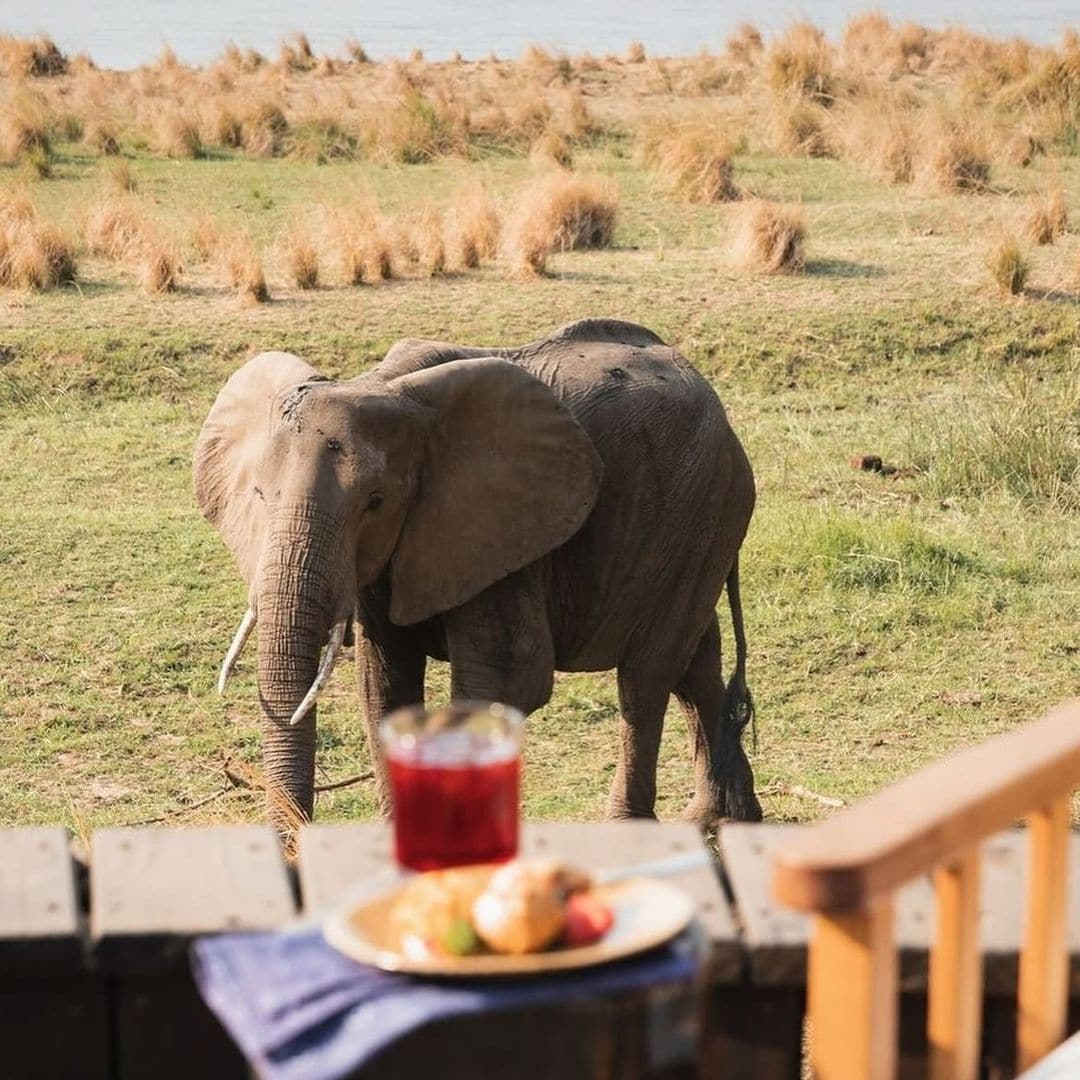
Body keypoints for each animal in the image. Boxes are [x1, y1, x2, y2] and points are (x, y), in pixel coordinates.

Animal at [194, 315, 764, 829]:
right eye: (259, 495)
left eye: (375, 502)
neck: (379, 384)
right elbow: (383, 687)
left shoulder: (501, 528)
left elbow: (509, 677)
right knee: (695, 662)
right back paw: (722, 819)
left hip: (706, 507)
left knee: (646, 680)